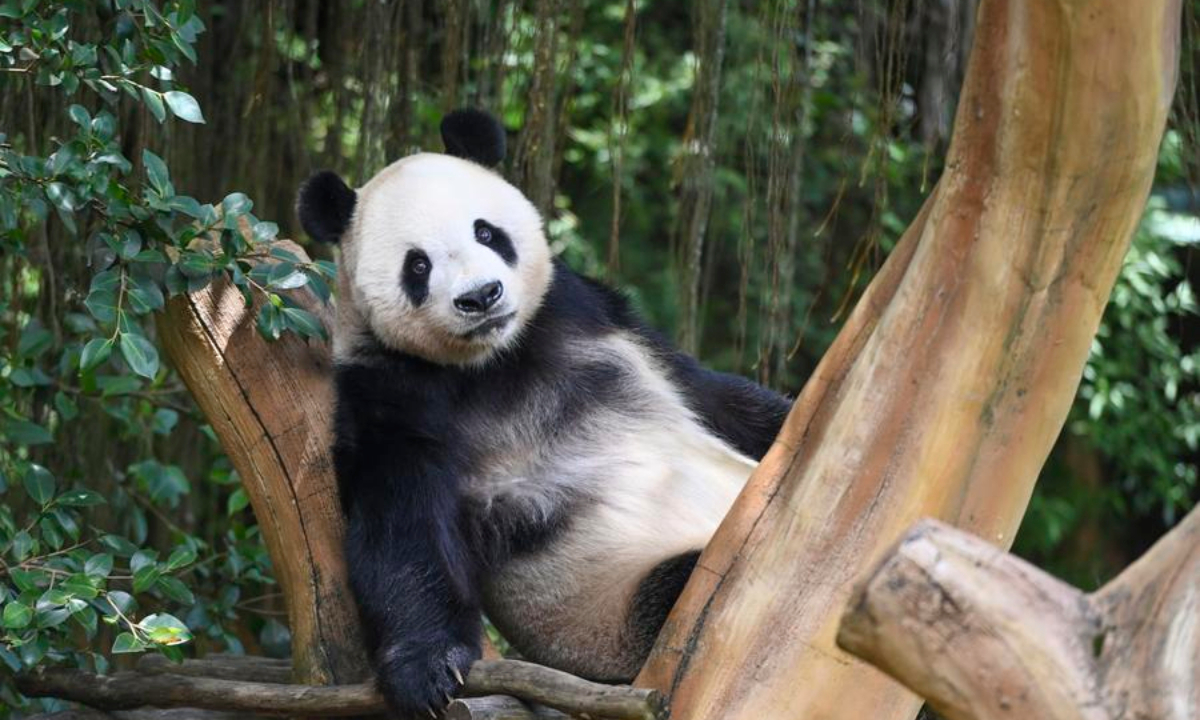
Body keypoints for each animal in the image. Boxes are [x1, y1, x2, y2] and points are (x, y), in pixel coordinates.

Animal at [296, 109, 791, 717]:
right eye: (418, 265)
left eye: (486, 232)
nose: (481, 296)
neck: (495, 361)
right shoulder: (390, 390)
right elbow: (401, 526)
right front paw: (426, 671)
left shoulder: (589, 315)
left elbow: (717, 396)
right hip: (622, 614)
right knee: (683, 585)